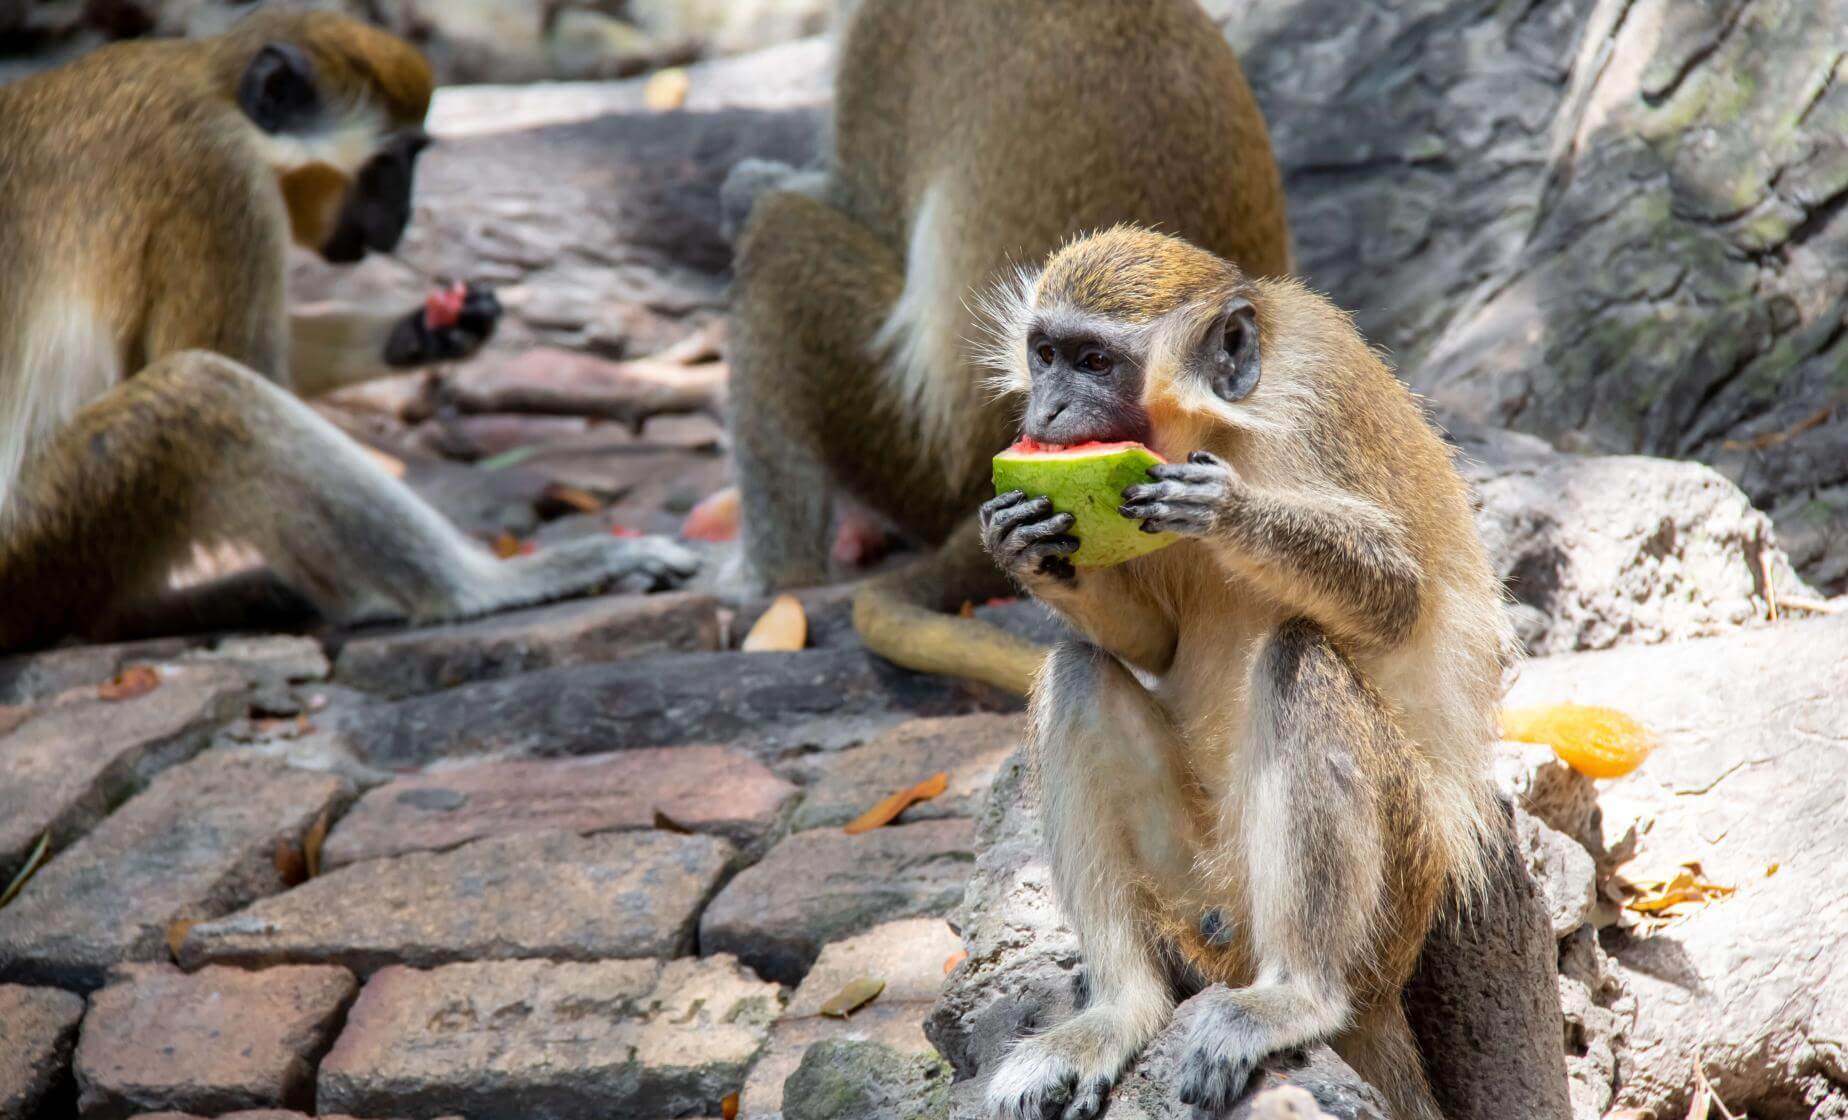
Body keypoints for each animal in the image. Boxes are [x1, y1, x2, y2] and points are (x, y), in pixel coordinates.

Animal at [720, 0, 1286, 694]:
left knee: (779, 235)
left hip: (919, 456)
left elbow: (850, 206)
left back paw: (774, 580)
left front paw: (745, 187)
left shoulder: (886, 34)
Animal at [975, 226, 1507, 1120]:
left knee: (1301, 657)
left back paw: (1299, 995)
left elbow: (1399, 598)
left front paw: (1226, 511)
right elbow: (1152, 644)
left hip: (1395, 898)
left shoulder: (1315, 395)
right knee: (1079, 674)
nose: (1044, 414)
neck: (1218, 424)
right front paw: (1018, 542)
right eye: (1044, 354)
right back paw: (1119, 1011)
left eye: (1093, 362)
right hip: (1197, 898)